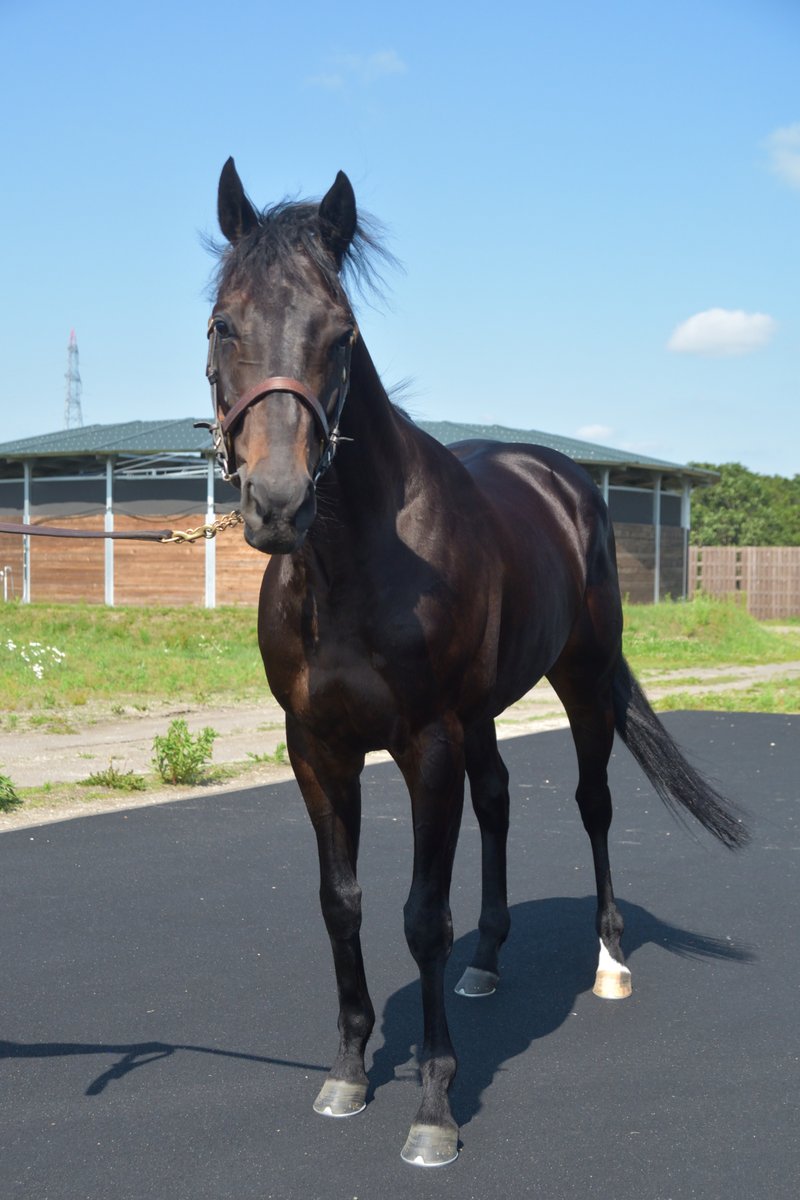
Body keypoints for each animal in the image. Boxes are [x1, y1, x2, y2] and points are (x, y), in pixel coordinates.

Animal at [204, 158, 748, 1167]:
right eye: (225, 321)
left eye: (342, 333)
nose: (278, 504)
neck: (351, 563)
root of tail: (563, 478)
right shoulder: (318, 748)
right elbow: (342, 902)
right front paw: (348, 1072)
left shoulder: (426, 745)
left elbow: (425, 916)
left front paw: (434, 1108)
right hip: (484, 714)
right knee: (497, 801)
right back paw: (490, 963)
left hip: (581, 685)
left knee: (592, 805)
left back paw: (609, 960)